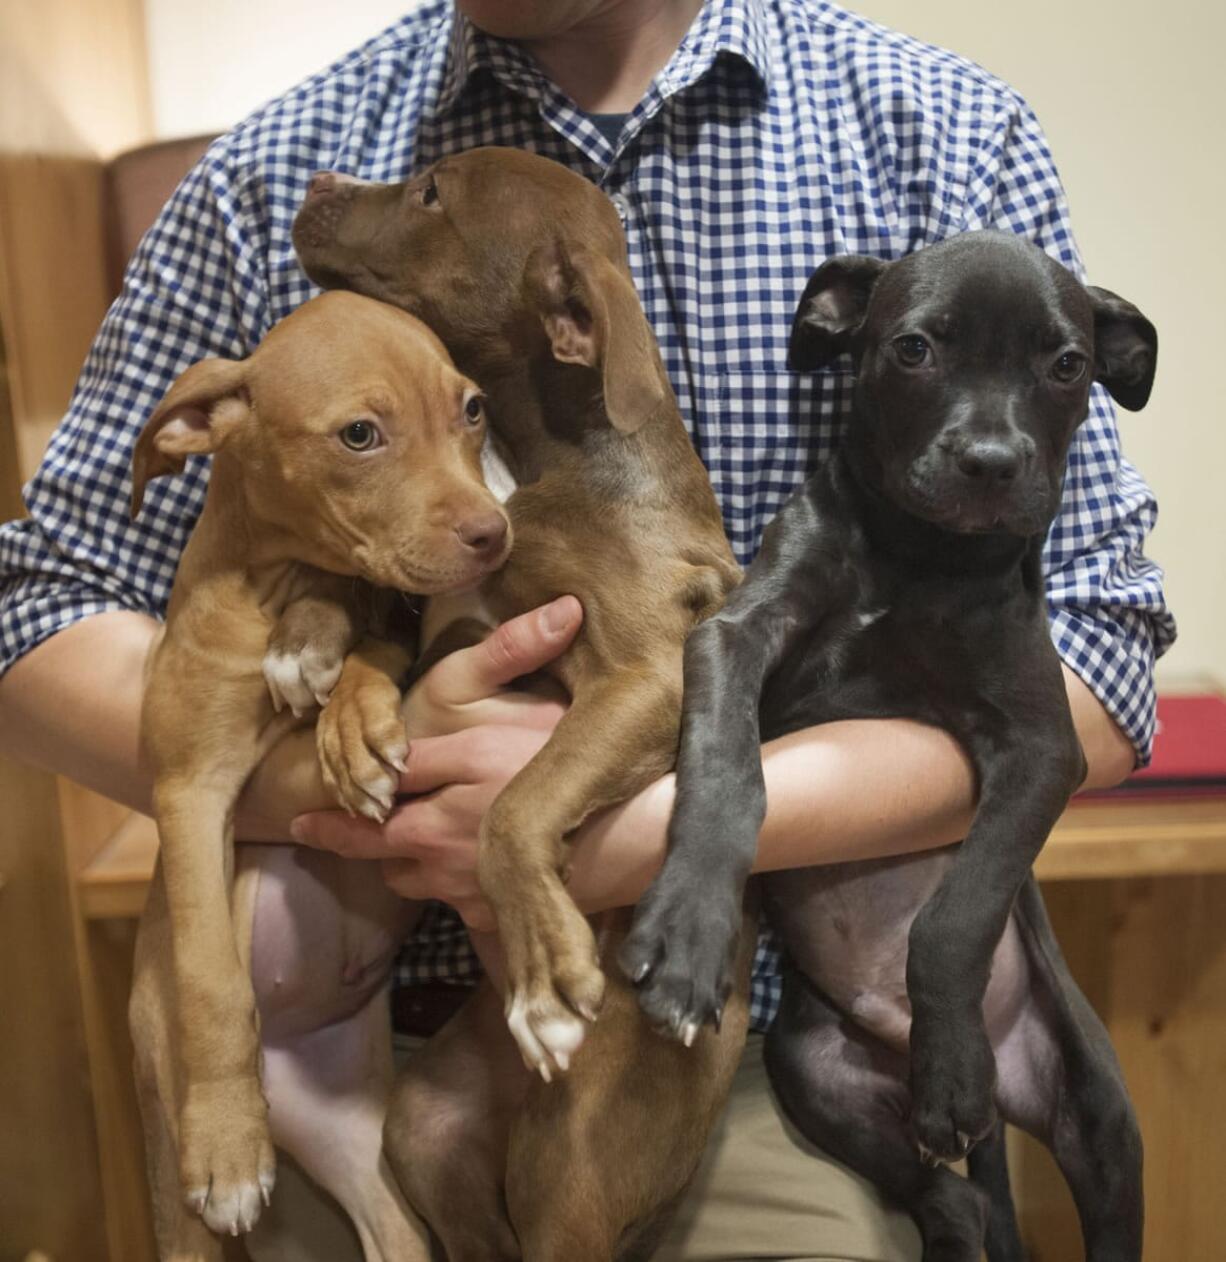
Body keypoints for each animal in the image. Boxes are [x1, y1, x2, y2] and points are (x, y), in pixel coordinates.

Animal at [133, 292, 512, 1251]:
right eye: (359, 435)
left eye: (471, 408)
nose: (495, 533)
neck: (267, 580)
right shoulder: (188, 790)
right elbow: (211, 977)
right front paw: (228, 1142)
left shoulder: (392, 615)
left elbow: (372, 637)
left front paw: (349, 712)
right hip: (174, 1171)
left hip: (354, 1141)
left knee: (396, 1237)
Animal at [295, 145, 752, 1251]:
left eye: (430, 193)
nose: (317, 183)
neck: (540, 455)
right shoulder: (443, 631)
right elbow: (379, 649)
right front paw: (352, 730)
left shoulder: (645, 674)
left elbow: (518, 799)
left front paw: (547, 970)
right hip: (427, 1120)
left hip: (573, 1167)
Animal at [623, 229, 1161, 1262]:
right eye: (915, 349)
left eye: (1068, 365)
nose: (991, 462)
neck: (919, 554)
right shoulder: (737, 635)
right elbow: (726, 777)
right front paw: (687, 934)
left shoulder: (1043, 747)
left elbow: (956, 912)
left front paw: (950, 1067)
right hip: (816, 1077)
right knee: (952, 1199)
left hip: (1103, 1118)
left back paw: (954, 1080)